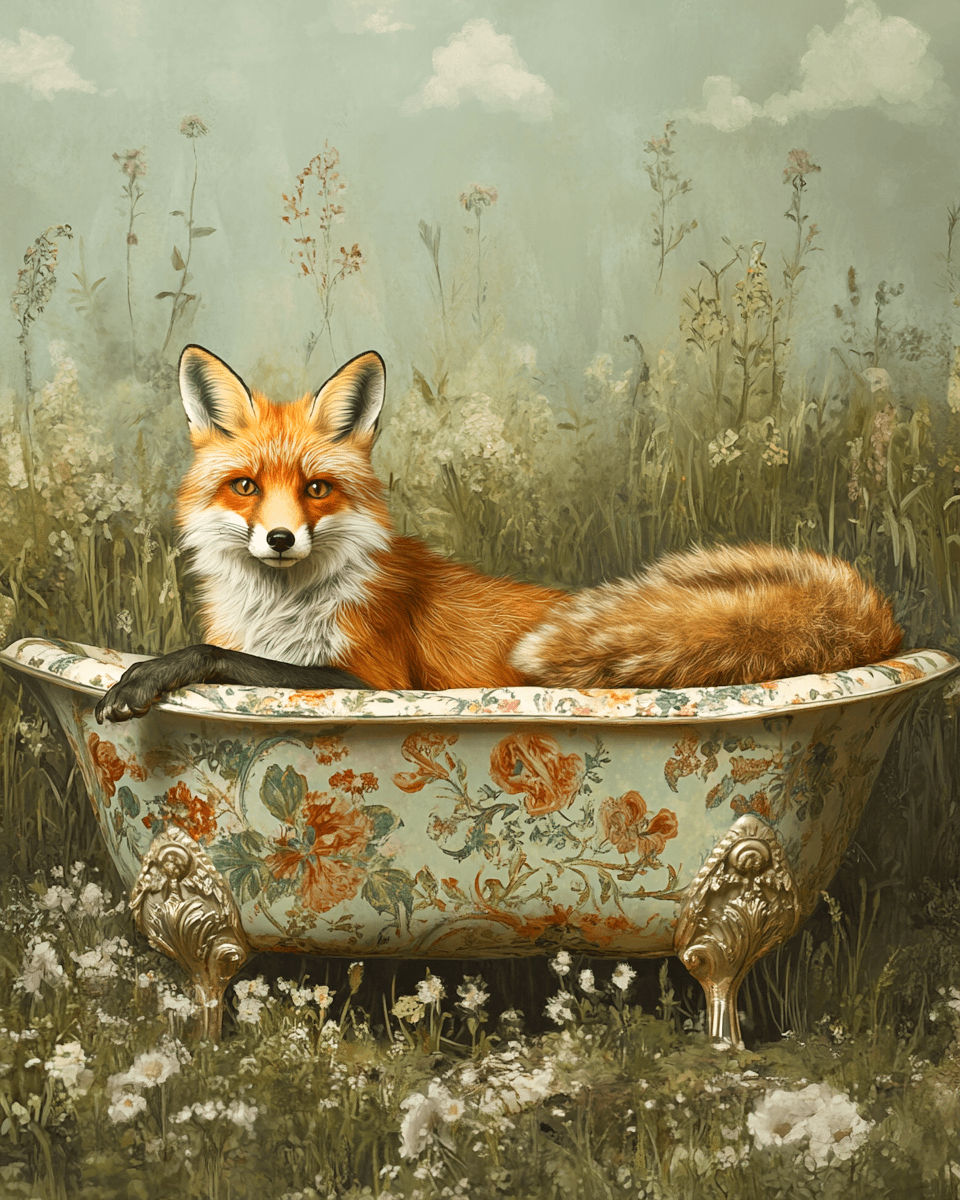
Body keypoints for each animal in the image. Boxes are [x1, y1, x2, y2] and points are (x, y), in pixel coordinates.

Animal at [95, 345, 903, 722]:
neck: (280, 610)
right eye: (246, 487)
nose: (282, 541)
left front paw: (148, 674)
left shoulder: (371, 680)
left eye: (317, 489)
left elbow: (217, 657)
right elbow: (229, 652)